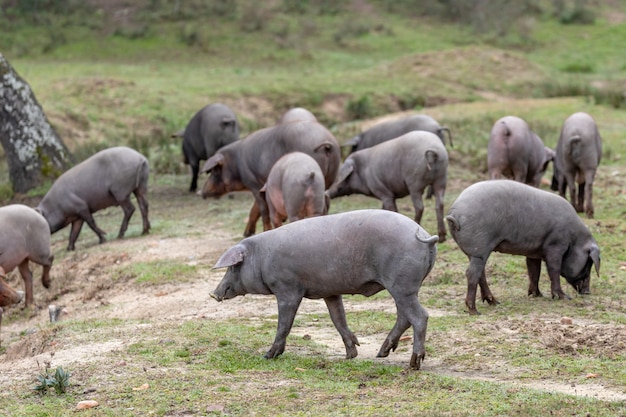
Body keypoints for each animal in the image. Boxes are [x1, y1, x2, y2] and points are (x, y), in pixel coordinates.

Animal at [200, 120, 338, 237]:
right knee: (326, 200)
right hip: (327, 179)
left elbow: (262, 209)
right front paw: (247, 234)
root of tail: (326, 143)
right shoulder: (260, 185)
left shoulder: (253, 183)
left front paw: (264, 231)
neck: (235, 164)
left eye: (214, 171)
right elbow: (254, 209)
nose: (202, 192)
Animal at [207, 210, 436, 368]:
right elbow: (338, 319)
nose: (213, 293)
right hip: (405, 287)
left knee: (420, 316)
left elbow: (284, 324)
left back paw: (414, 363)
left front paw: (267, 356)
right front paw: (350, 355)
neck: (262, 257)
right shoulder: (330, 292)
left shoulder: (288, 290)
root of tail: (425, 237)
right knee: (404, 316)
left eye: (234, 266)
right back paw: (381, 353)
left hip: (402, 285)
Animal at [444, 180, 600, 314]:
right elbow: (553, 271)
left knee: (480, 274)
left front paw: (537, 295)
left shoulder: (534, 251)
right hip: (479, 249)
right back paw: (475, 311)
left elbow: (534, 271)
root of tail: (454, 212)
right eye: (588, 264)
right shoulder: (555, 246)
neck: (574, 238)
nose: (587, 292)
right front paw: (564, 297)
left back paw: (495, 302)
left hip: (475, 253)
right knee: (471, 274)